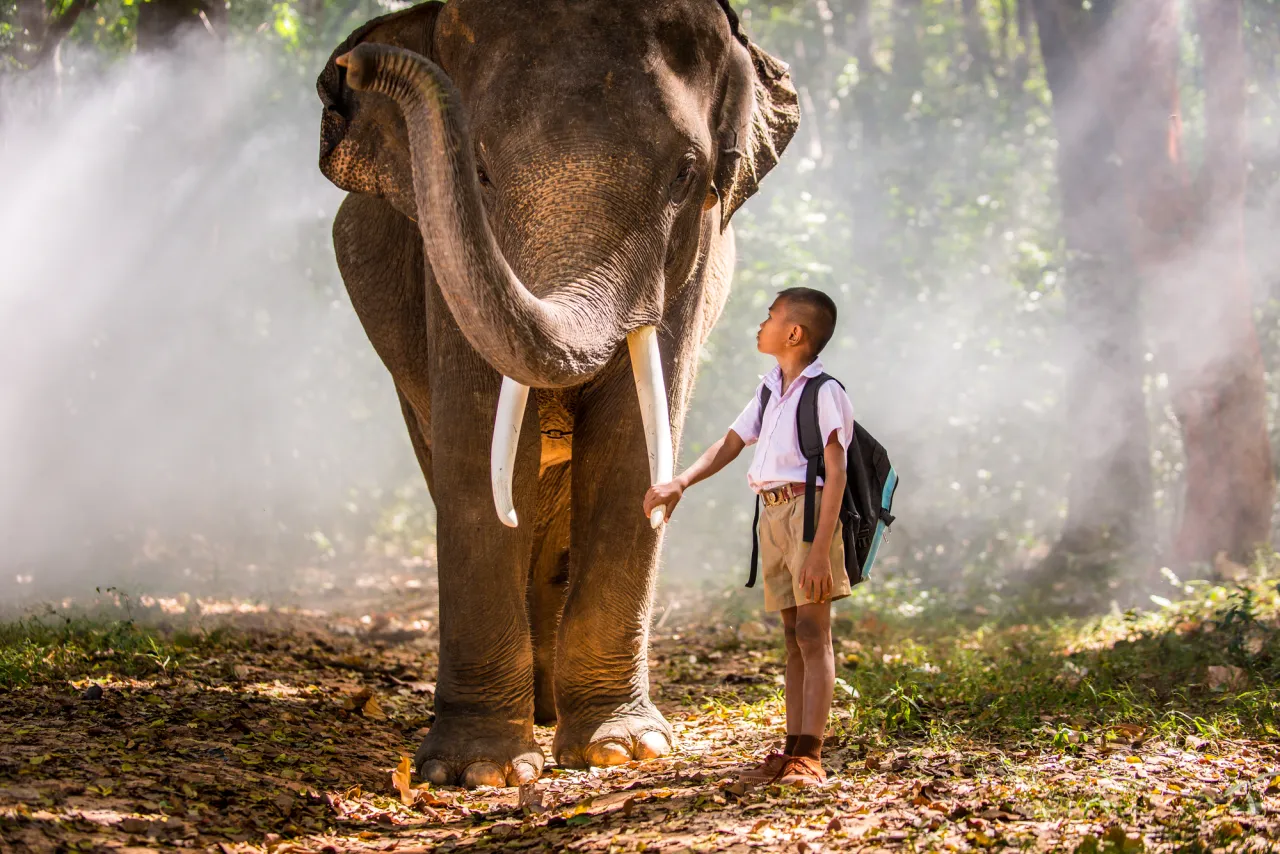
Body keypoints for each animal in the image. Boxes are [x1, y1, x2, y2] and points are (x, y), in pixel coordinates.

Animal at [314, 0, 793, 788]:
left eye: (687, 174)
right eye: (477, 170)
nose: (356, 66)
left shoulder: (689, 271)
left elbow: (629, 447)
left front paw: (621, 750)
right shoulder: (438, 265)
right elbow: (479, 442)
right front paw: (480, 772)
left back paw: (550, 710)